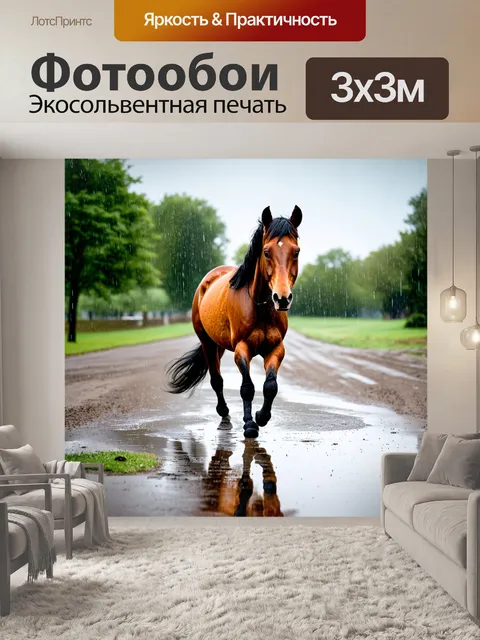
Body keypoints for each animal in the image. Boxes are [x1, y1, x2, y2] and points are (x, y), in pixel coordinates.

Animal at [166, 205, 302, 439]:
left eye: (296, 251)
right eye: (266, 252)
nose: (282, 298)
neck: (260, 306)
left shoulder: (276, 348)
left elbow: (270, 386)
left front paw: (261, 417)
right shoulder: (242, 348)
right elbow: (247, 387)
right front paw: (249, 425)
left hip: (219, 344)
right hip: (207, 343)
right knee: (216, 380)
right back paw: (224, 415)